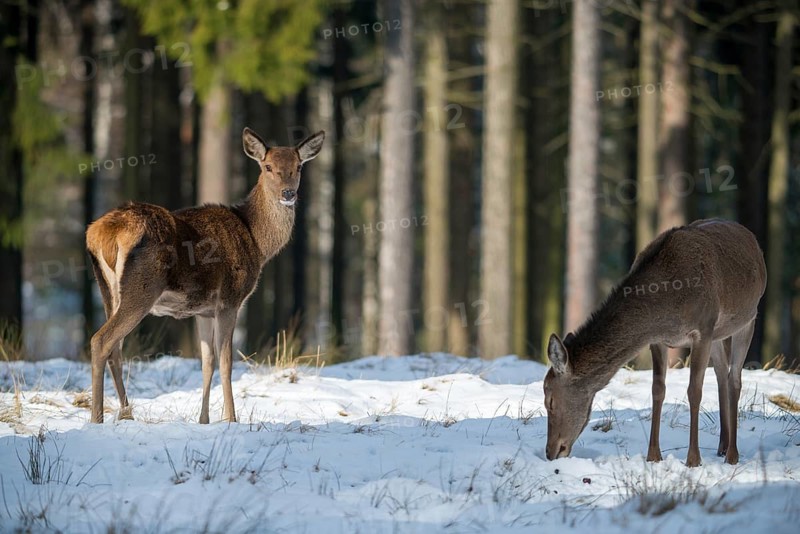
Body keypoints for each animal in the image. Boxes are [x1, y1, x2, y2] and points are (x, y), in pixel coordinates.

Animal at [85, 127, 324, 424]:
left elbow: (207, 362)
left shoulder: (203, 311)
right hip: (142, 288)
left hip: (108, 290)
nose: (288, 193)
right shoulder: (230, 300)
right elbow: (226, 361)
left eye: (298, 166)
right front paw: (231, 418)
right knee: (101, 340)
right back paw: (97, 418)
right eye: (268, 167)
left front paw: (204, 420)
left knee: (115, 349)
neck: (256, 241)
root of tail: (100, 233)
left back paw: (126, 413)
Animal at [544, 219, 766, 467]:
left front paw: (693, 459)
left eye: (550, 401)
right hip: (718, 335)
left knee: (734, 379)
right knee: (721, 374)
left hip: (748, 318)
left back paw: (732, 455)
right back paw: (722, 446)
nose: (550, 452)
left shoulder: (702, 329)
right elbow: (657, 390)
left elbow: (694, 391)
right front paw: (653, 456)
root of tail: (751, 239)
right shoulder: (658, 340)